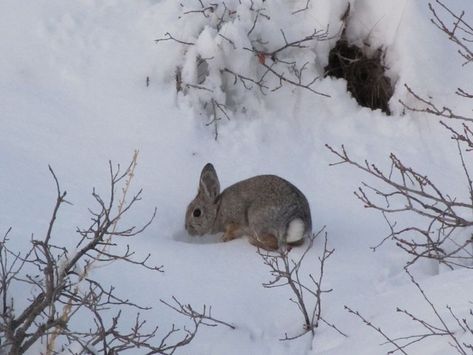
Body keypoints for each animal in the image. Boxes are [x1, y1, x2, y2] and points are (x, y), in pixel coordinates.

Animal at [185, 164, 314, 250]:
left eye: (197, 212)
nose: (187, 228)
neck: (218, 210)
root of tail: (297, 218)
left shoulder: (235, 222)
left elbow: (232, 231)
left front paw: (223, 239)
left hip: (257, 221)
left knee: (274, 244)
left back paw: (252, 241)